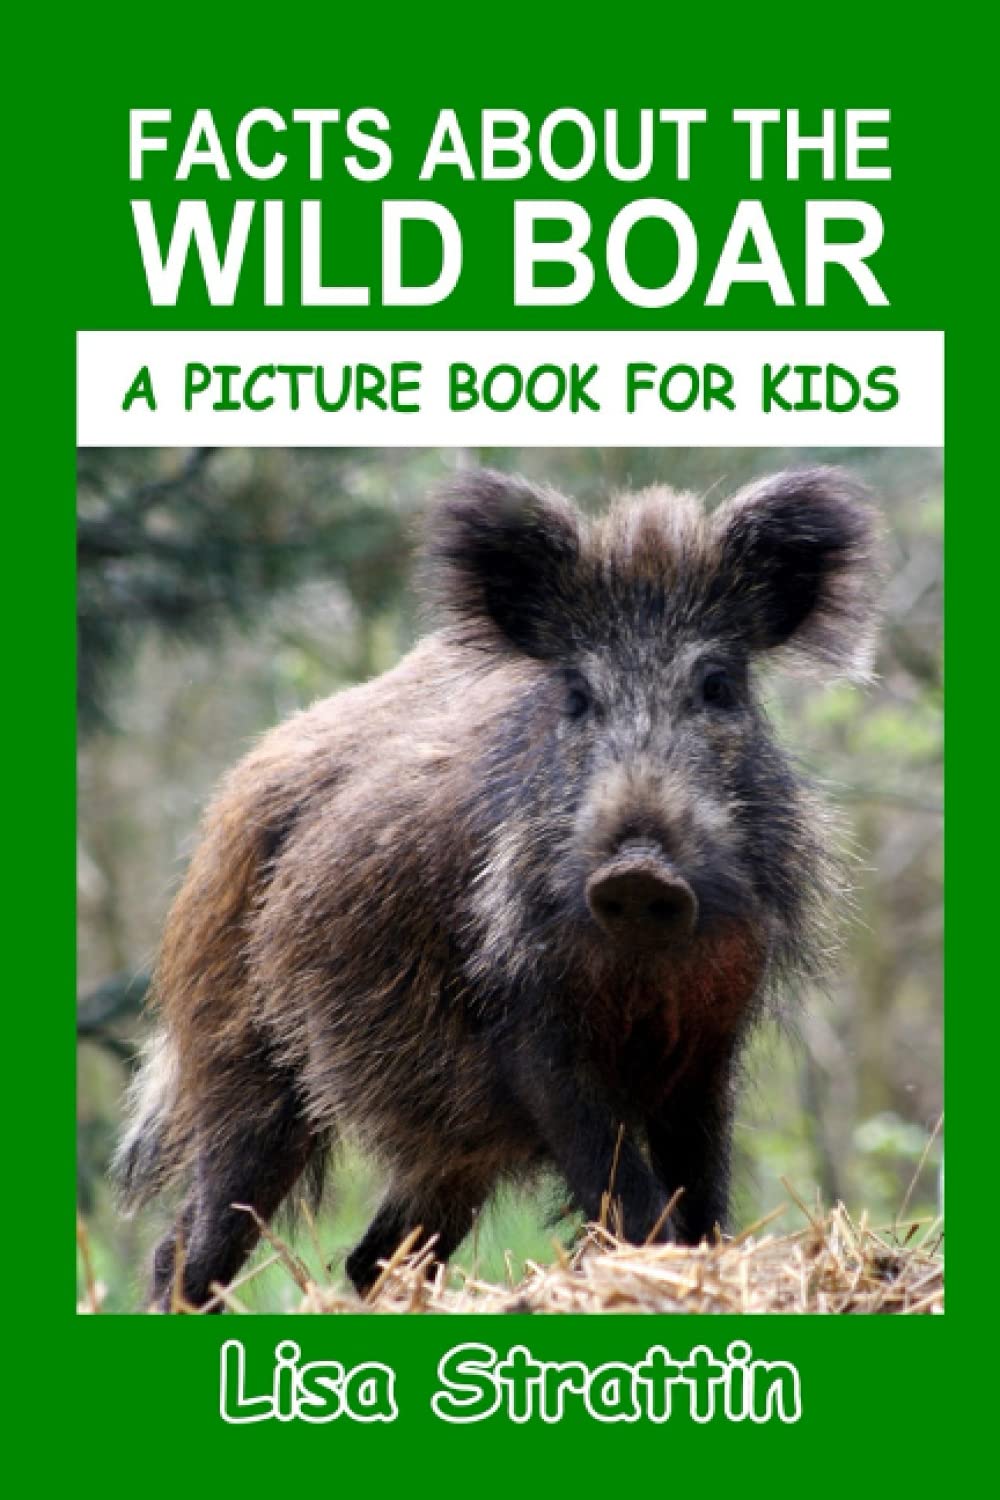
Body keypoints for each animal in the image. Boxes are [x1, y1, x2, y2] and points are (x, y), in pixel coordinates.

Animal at [114, 466, 878, 1311]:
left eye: (718, 686)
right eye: (576, 695)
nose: (638, 870)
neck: (642, 982)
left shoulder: (713, 1038)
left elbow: (702, 1192)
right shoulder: (529, 1034)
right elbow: (627, 1192)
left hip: (445, 1144)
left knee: (375, 1258)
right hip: (241, 1062)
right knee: (192, 1243)